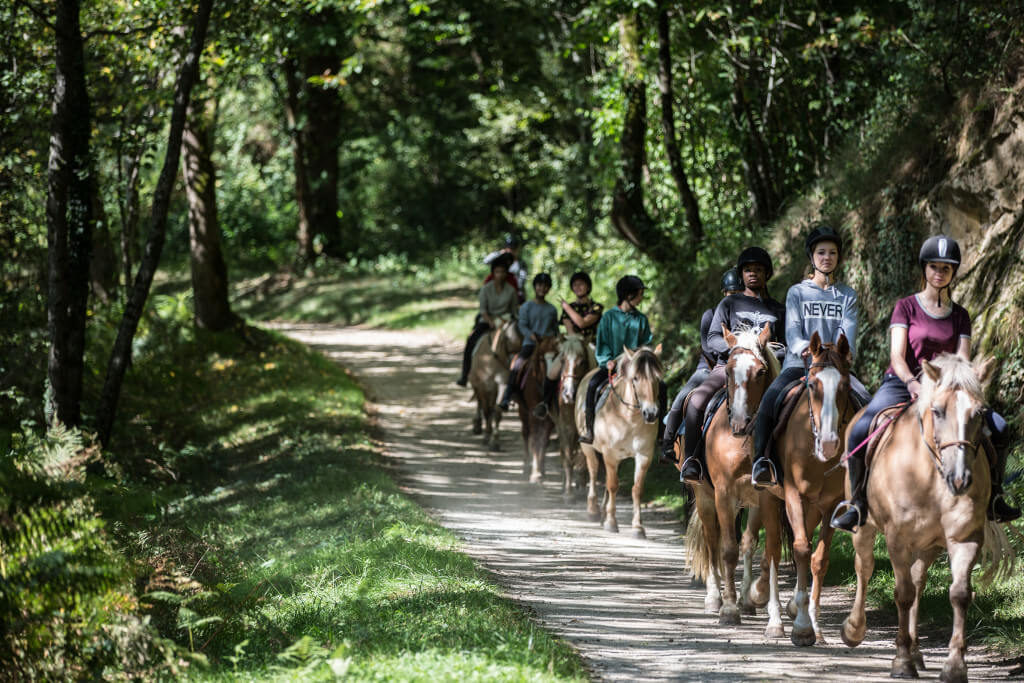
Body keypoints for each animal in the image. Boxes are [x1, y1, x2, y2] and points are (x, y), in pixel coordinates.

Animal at [552, 335, 593, 499]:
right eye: (562, 360)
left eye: (581, 362)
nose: (569, 394)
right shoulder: (566, 427)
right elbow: (568, 457)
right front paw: (568, 493)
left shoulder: (584, 430)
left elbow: (583, 458)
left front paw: (581, 486)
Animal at [573, 348, 659, 540]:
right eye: (635, 378)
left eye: (658, 378)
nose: (651, 413)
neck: (629, 418)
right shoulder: (610, 454)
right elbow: (613, 486)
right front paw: (612, 523)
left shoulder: (644, 455)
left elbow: (637, 489)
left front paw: (638, 527)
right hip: (588, 448)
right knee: (593, 470)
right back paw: (594, 511)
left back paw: (603, 515)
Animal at [684, 325, 786, 634]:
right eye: (729, 371)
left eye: (761, 371)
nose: (739, 424)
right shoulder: (724, 494)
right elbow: (727, 550)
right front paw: (728, 609)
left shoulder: (766, 497)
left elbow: (767, 551)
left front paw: (770, 613)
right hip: (705, 497)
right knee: (712, 540)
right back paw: (714, 598)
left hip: (750, 502)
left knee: (747, 543)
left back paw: (746, 600)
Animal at [774, 331, 856, 647]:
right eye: (812, 385)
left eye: (844, 385)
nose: (831, 443)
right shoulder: (793, 494)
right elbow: (800, 549)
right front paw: (801, 628)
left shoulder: (832, 504)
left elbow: (819, 559)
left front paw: (815, 625)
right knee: (770, 550)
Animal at [839, 356, 1015, 679]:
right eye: (938, 411)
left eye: (979, 413)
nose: (959, 479)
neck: (930, 476)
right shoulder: (896, 539)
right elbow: (902, 593)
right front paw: (901, 661)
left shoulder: (965, 538)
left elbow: (959, 594)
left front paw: (954, 666)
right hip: (865, 528)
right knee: (865, 568)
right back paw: (855, 630)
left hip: (929, 545)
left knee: (919, 581)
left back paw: (917, 651)